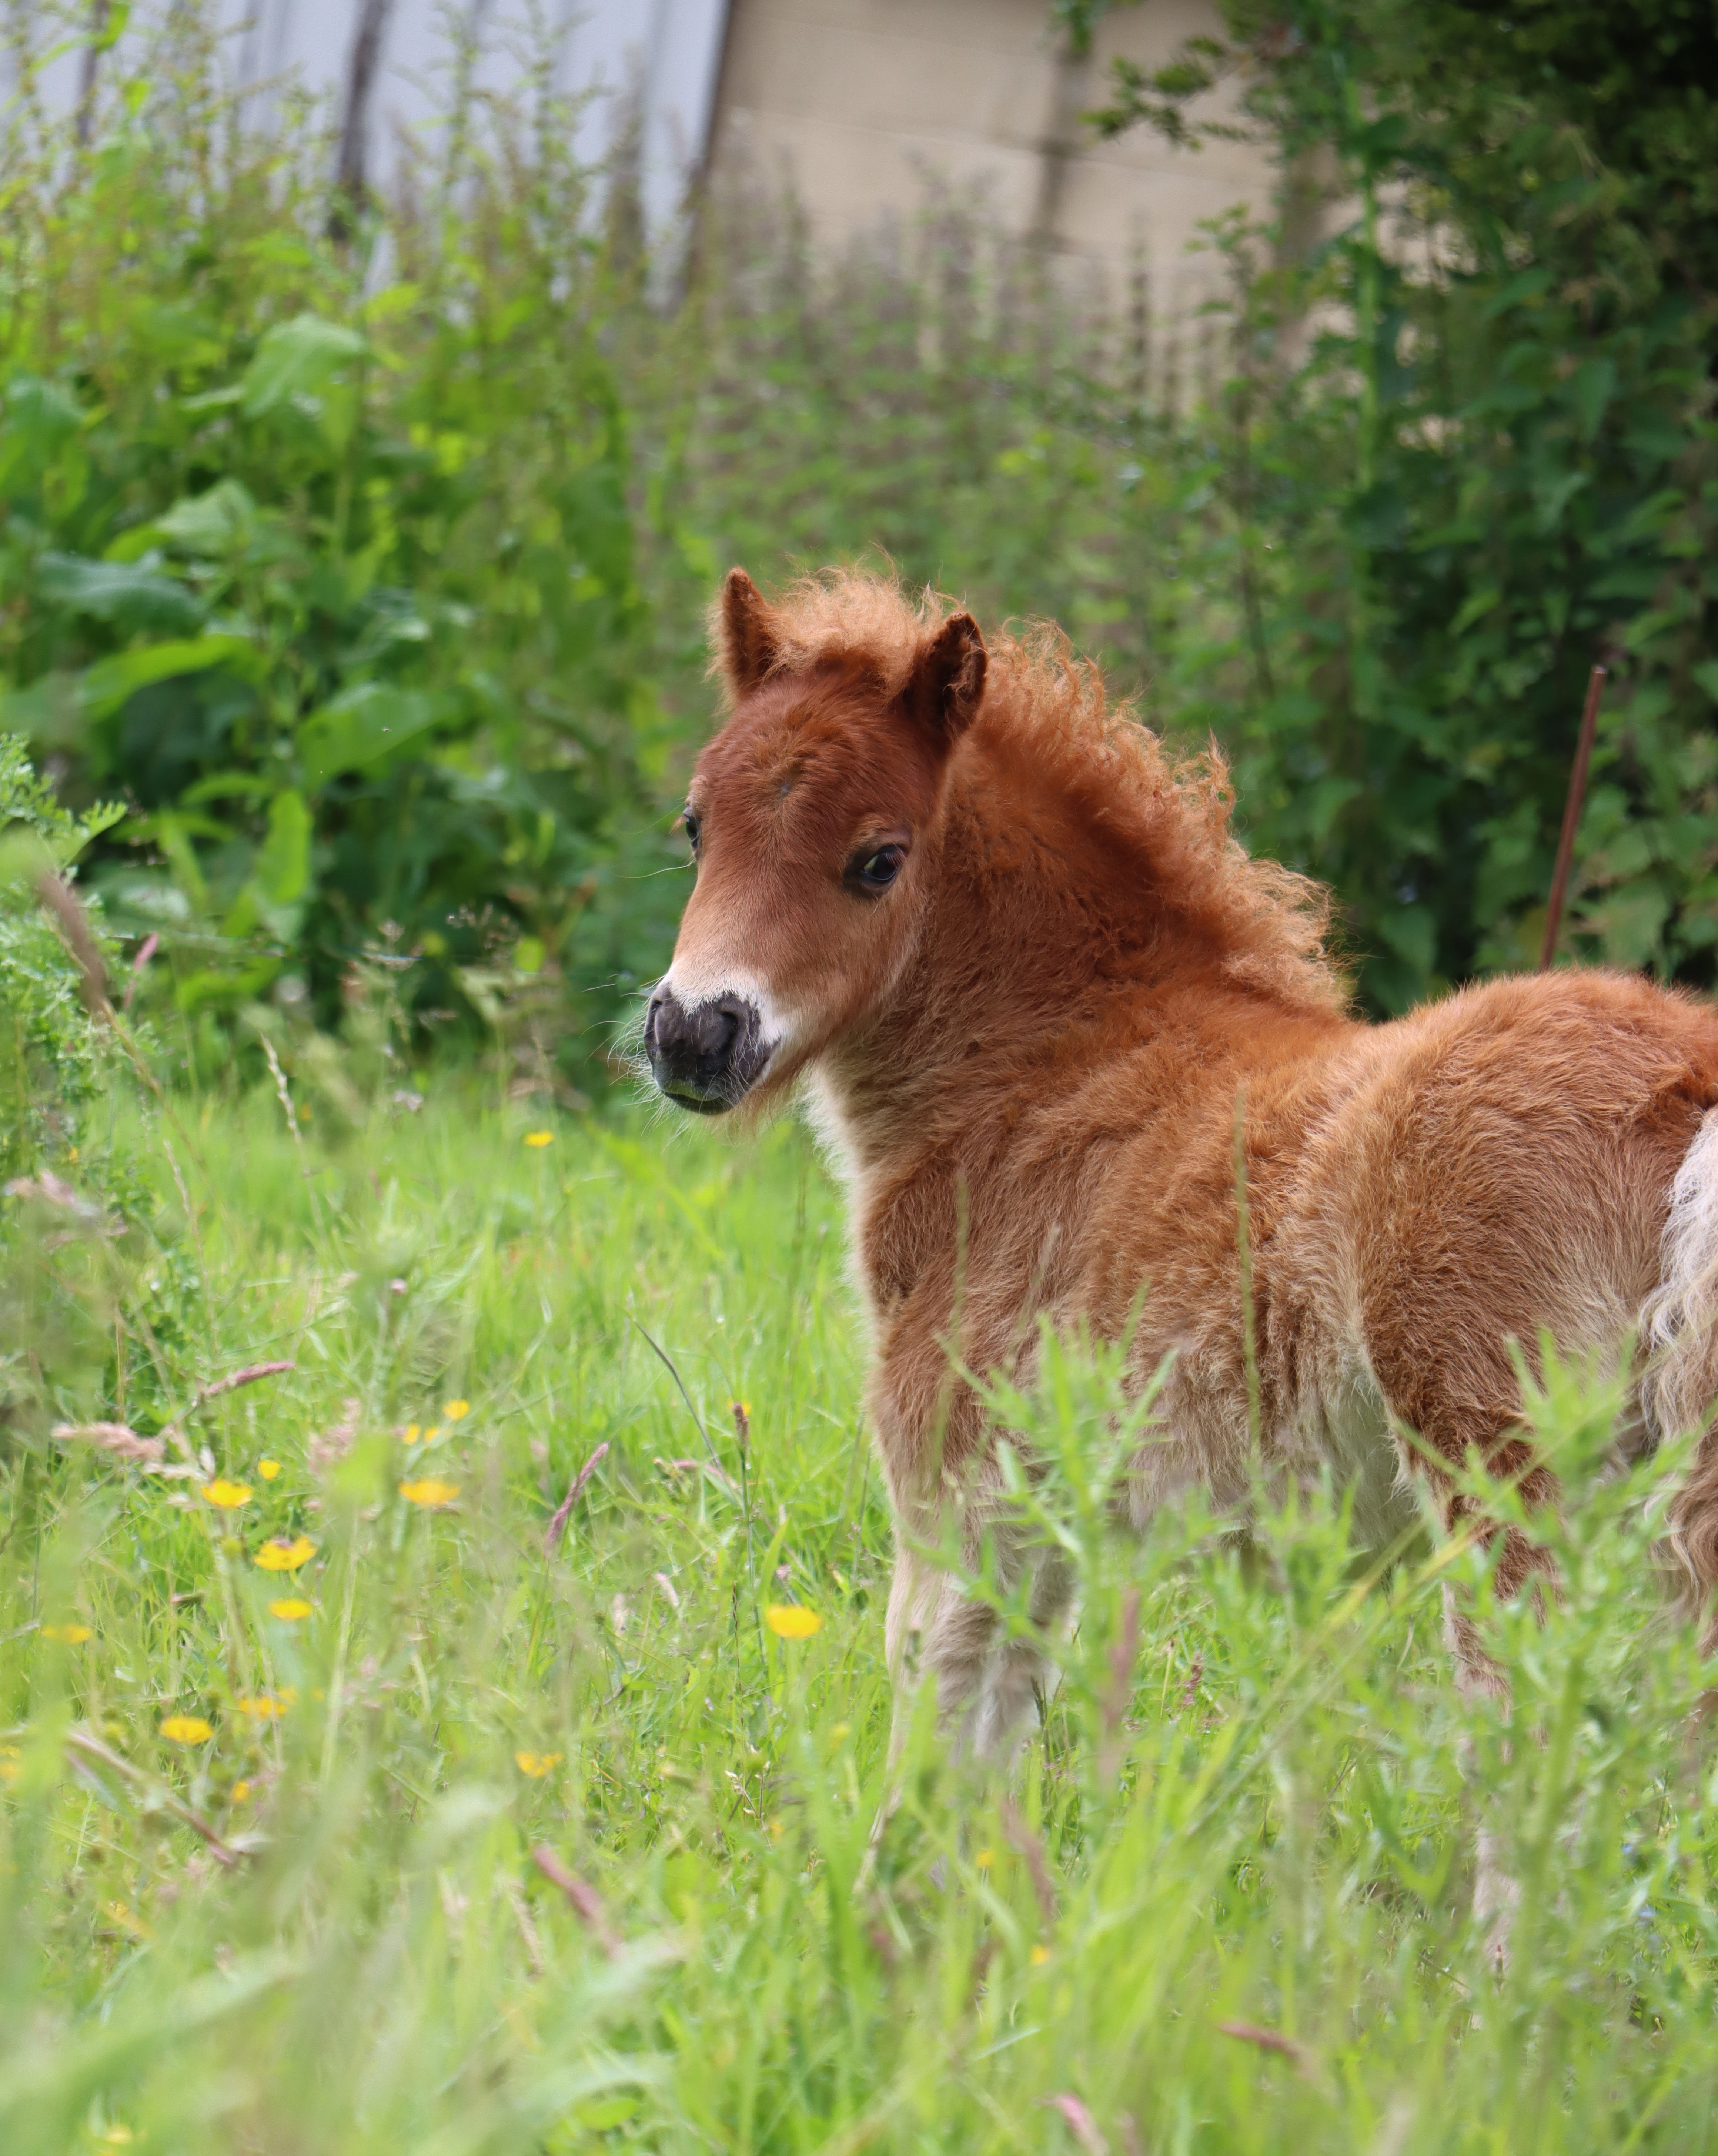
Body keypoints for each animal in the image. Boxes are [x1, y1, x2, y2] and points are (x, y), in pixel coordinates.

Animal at [642, 565, 1716, 1776]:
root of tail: (1687, 1071)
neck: (1047, 1067)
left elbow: (937, 1741)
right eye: (696, 827)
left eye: (879, 860)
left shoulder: (958, 1488)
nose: (692, 1033)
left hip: (1511, 1484)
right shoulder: (1051, 1519)